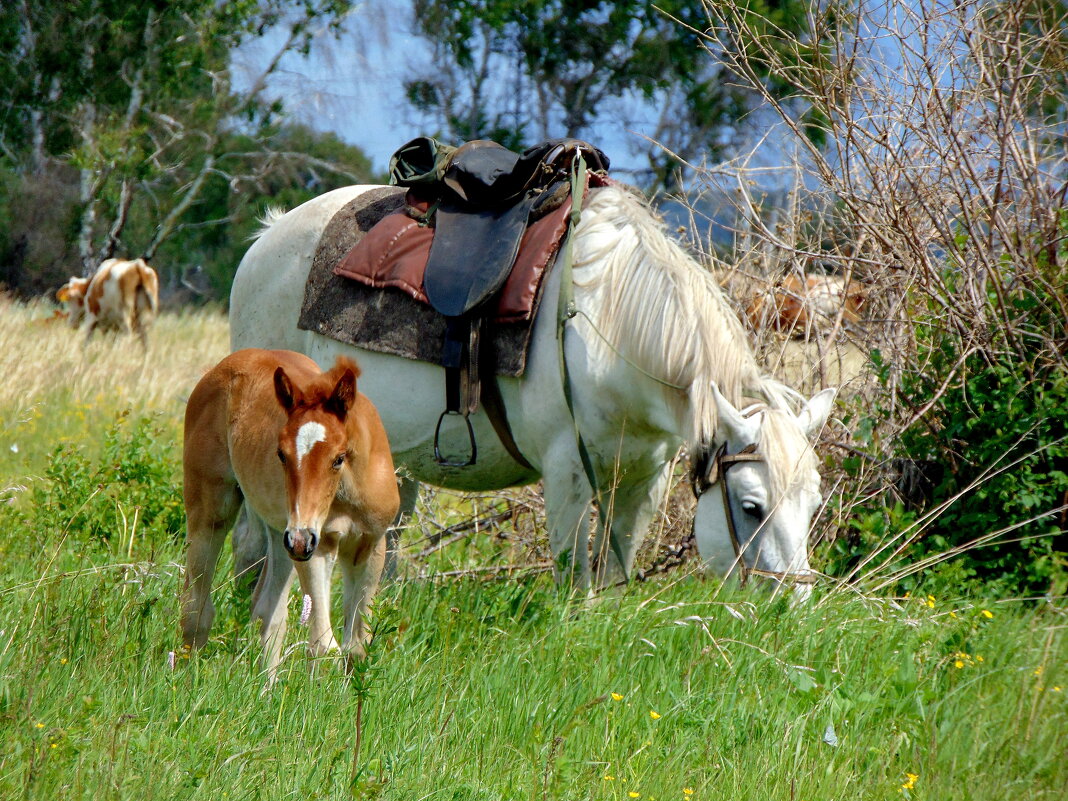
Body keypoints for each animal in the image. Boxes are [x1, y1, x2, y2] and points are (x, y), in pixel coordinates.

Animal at [181, 348, 399, 679]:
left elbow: (355, 649)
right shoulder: (318, 547)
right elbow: (323, 645)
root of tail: (232, 361)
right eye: (281, 454)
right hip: (216, 511)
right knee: (197, 606)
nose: (299, 539)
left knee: (268, 611)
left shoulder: (371, 544)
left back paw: (264, 688)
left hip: (279, 532)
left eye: (339, 458)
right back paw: (185, 677)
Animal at [229, 184, 837, 593]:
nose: (792, 603)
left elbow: (613, 577)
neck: (608, 322)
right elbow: (574, 581)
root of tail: (269, 235)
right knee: (254, 545)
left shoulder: (645, 479)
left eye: (813, 504)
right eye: (752, 506)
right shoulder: (567, 473)